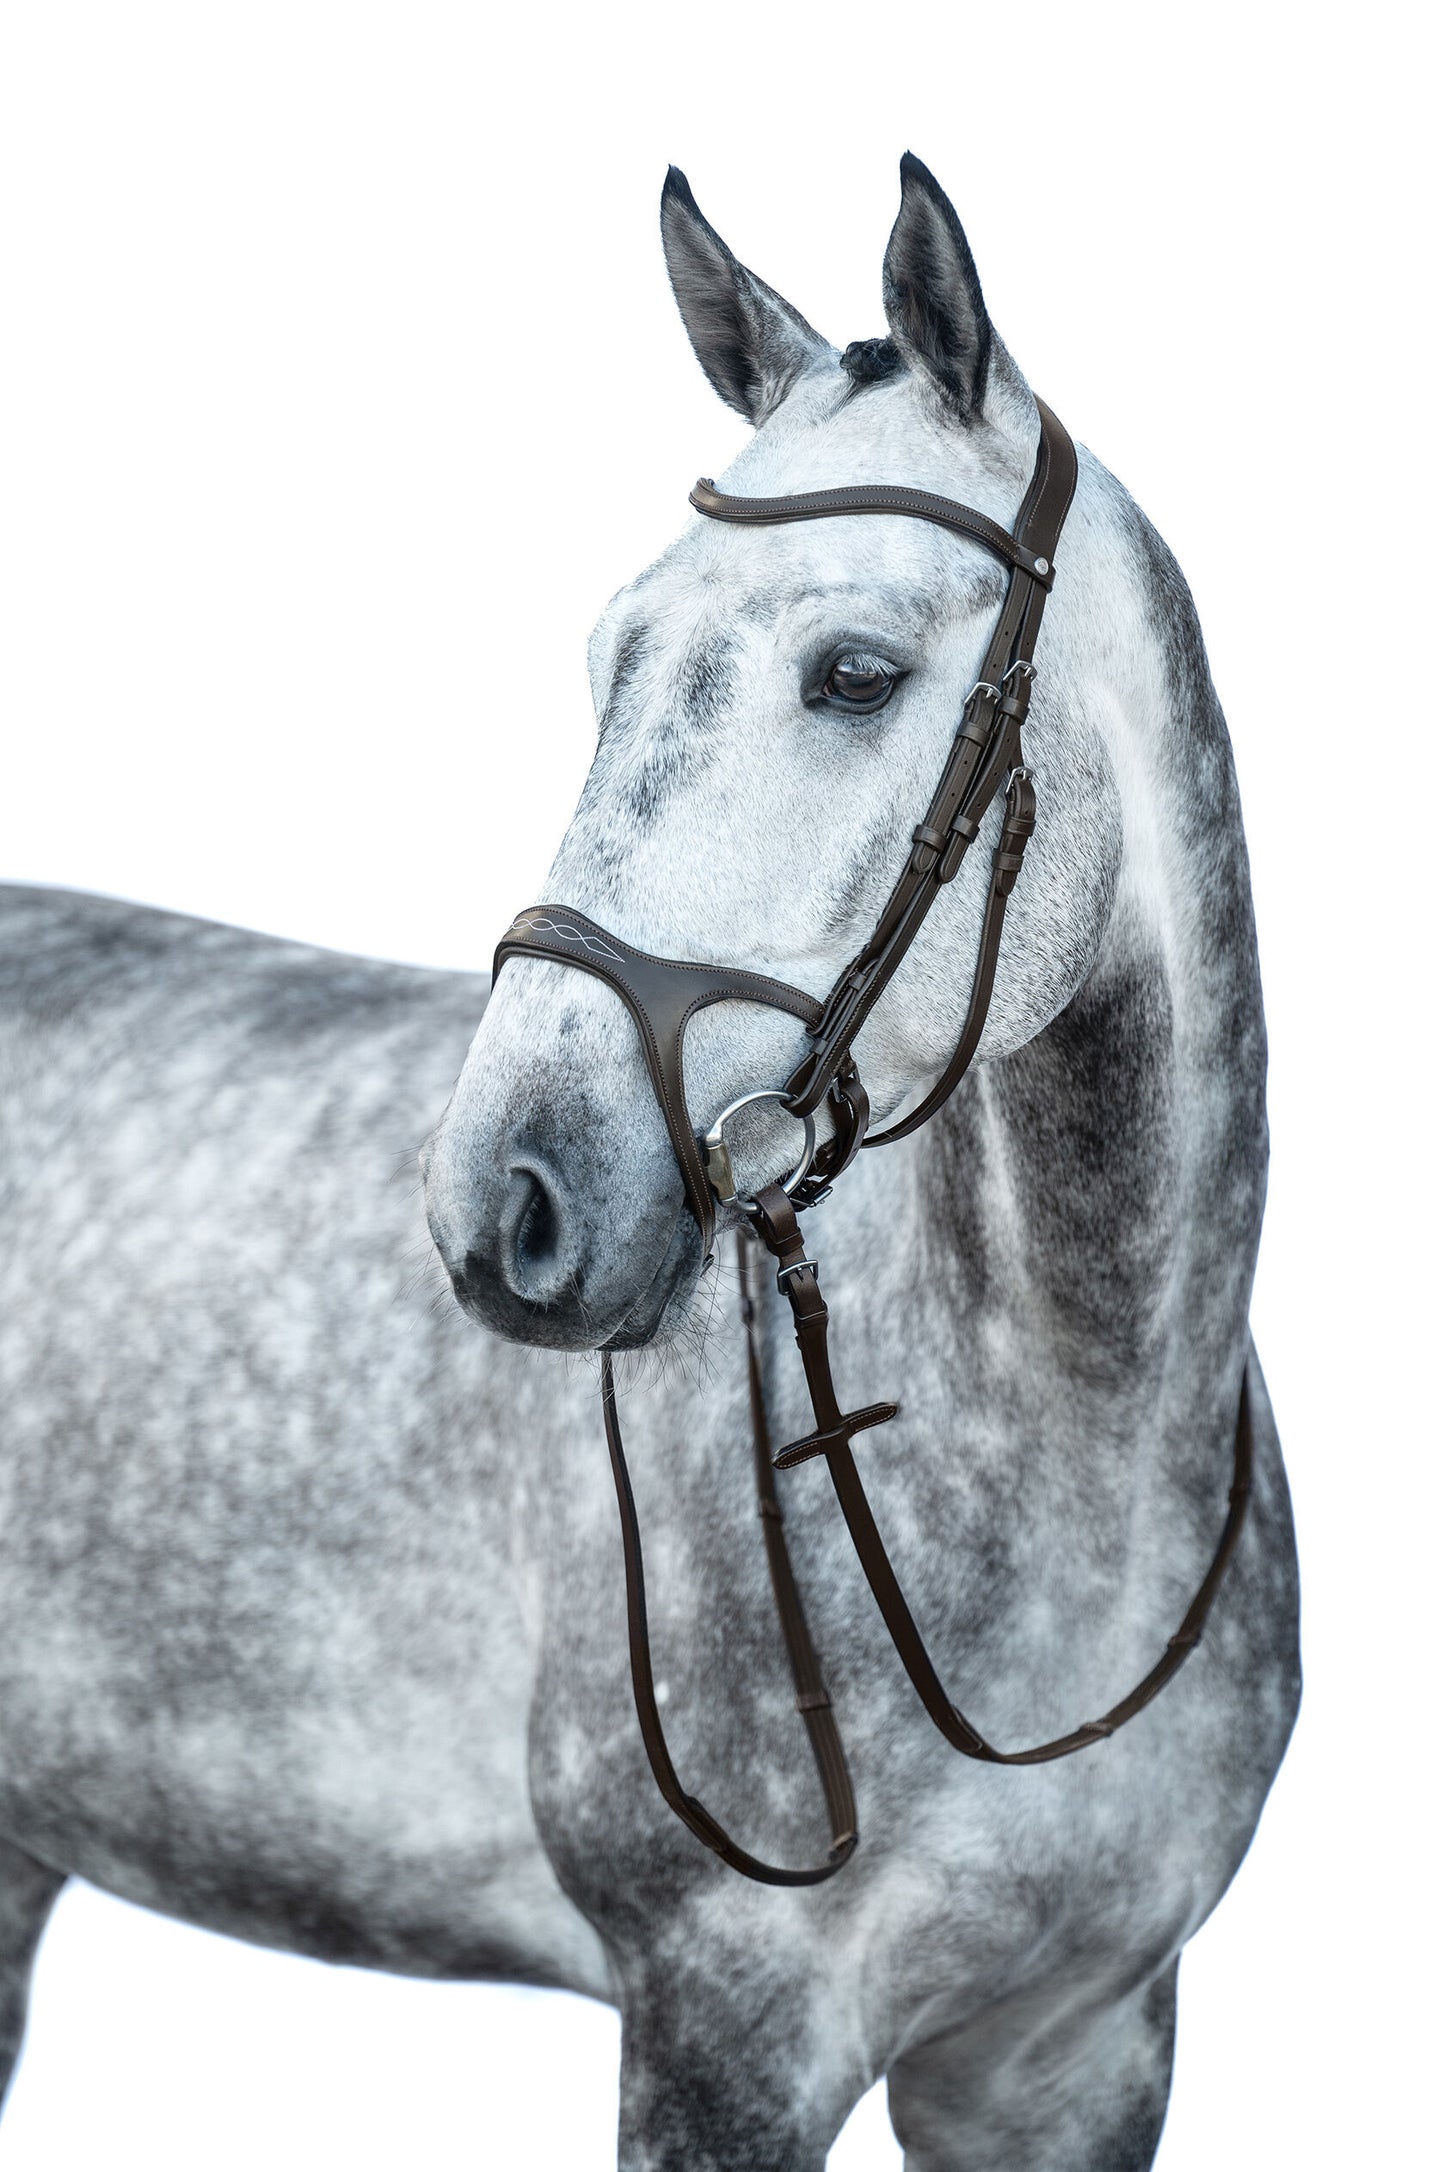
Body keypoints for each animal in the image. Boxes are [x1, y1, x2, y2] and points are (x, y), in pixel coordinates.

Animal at [0, 160, 1295, 2163]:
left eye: (855, 673)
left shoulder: (1076, 2050)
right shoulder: (724, 2028)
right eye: (608, 653)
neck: (1078, 1475)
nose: (509, 1205)